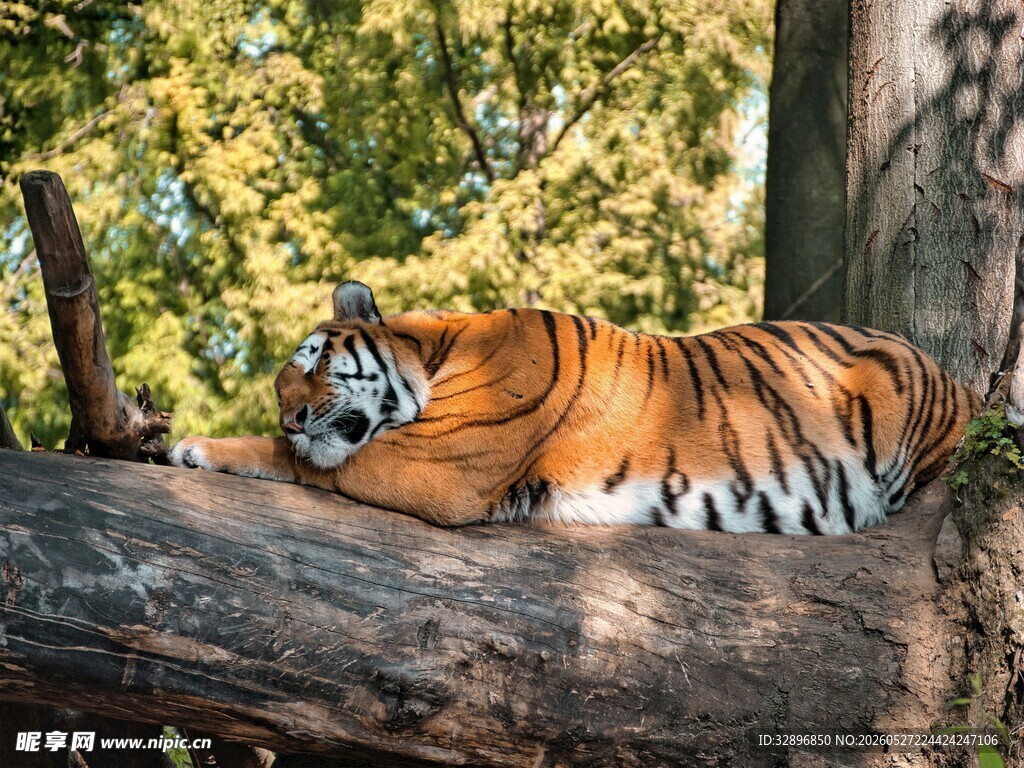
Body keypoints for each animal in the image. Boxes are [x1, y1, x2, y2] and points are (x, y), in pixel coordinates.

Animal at [170, 281, 981, 533]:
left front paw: (192, 445)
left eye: (311, 364)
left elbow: (299, 461)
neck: (434, 357)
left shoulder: (440, 466)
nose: (291, 416)